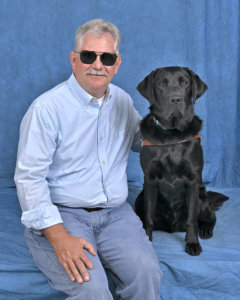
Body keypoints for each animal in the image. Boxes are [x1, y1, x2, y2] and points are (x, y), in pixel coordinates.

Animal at [135, 67, 229, 255]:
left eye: (184, 83)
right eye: (162, 84)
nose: (176, 99)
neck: (171, 134)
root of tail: (172, 227)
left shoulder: (192, 180)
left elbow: (191, 219)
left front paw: (192, 243)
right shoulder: (150, 179)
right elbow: (148, 216)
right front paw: (146, 239)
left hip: (201, 196)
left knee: (211, 217)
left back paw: (205, 229)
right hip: (139, 198)